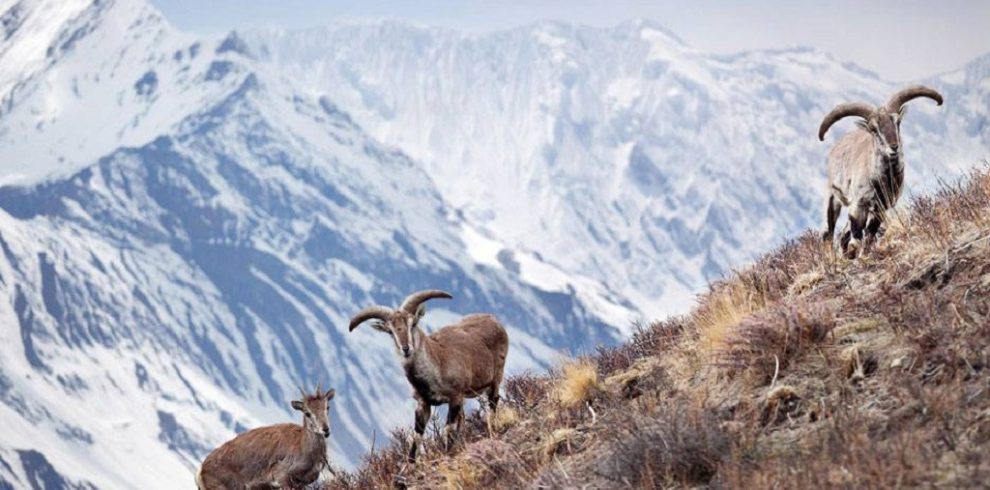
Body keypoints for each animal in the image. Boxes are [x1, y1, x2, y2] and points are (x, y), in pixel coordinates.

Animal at [348, 290, 508, 464]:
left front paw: (447, 454)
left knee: (493, 401)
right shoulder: (423, 403)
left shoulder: (455, 396)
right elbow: (417, 435)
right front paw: (410, 466)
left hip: (496, 377)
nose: (406, 349)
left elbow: (448, 429)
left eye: (413, 324)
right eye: (390, 331)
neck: (437, 366)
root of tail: (494, 320)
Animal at [816, 85, 948, 258]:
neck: (880, 180)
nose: (894, 147)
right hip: (833, 198)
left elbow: (870, 233)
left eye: (897, 122)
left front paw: (865, 254)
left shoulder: (881, 207)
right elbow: (857, 235)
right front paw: (857, 254)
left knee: (843, 234)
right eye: (874, 128)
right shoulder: (858, 204)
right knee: (828, 233)